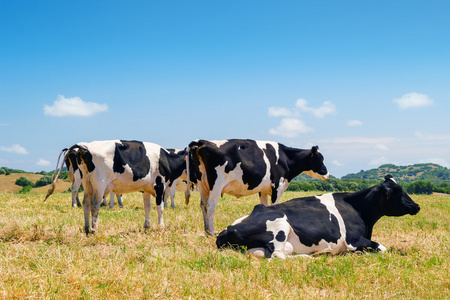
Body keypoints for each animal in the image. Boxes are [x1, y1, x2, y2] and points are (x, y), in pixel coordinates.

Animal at [48, 139, 190, 236]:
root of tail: (85, 146)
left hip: (87, 183)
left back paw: (87, 228)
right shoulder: (160, 185)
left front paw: (147, 226)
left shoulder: (147, 188)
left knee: (86, 203)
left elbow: (147, 208)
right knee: (94, 204)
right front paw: (161, 227)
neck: (166, 158)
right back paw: (94, 230)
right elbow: (160, 208)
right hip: (98, 184)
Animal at [186, 138, 330, 234]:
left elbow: (265, 207)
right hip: (216, 184)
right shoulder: (277, 186)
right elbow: (274, 206)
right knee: (210, 206)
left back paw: (206, 231)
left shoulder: (263, 189)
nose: (328, 174)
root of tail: (202, 141)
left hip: (203, 184)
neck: (285, 158)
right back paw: (211, 231)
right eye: (320, 159)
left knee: (203, 205)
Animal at [216, 175, 420, 258]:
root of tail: (228, 229)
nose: (417, 206)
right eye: (398, 191)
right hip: (280, 227)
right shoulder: (353, 240)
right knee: (277, 255)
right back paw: (312, 256)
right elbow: (382, 248)